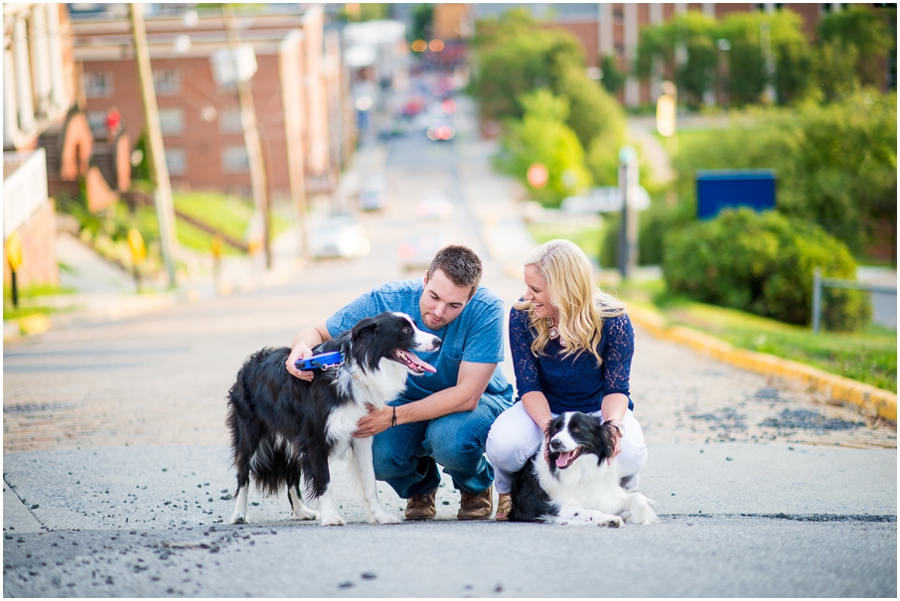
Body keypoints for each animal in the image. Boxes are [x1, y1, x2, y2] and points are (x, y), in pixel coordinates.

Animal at [223, 312, 438, 524]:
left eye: (415, 325)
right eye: (405, 330)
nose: (438, 341)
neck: (352, 368)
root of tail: (249, 364)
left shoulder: (361, 432)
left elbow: (370, 480)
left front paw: (380, 515)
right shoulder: (314, 435)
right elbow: (324, 479)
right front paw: (331, 517)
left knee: (291, 473)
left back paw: (302, 511)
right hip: (250, 432)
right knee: (243, 472)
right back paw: (239, 514)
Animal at [510, 412, 656, 524]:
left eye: (576, 429)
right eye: (556, 429)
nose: (554, 443)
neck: (582, 471)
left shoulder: (609, 495)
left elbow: (639, 499)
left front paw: (632, 517)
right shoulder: (560, 508)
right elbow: (590, 512)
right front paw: (609, 519)